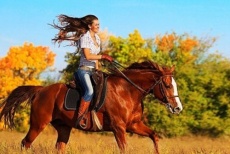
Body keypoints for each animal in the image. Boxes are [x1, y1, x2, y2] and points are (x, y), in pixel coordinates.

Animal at [0, 60, 183, 153]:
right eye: (167, 85)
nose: (178, 108)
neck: (127, 91)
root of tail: (40, 90)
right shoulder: (119, 127)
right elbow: (124, 148)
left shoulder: (134, 125)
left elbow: (154, 136)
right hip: (38, 124)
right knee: (25, 143)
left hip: (63, 128)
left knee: (59, 147)